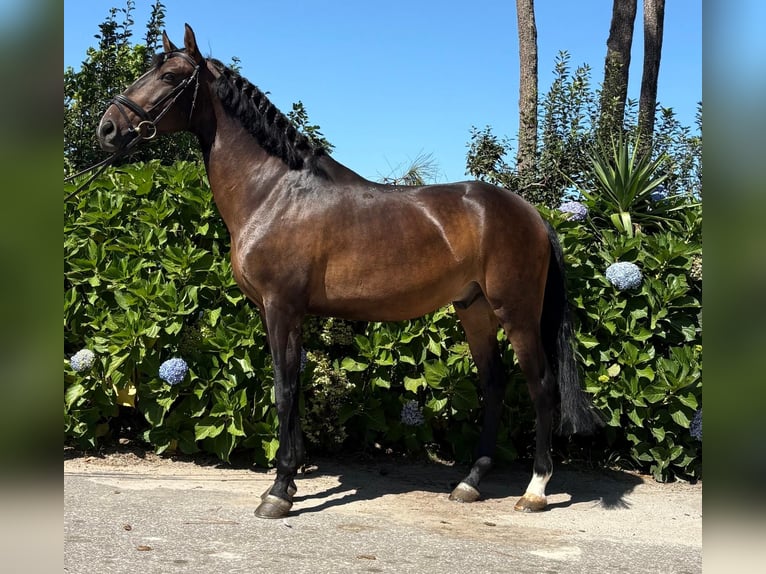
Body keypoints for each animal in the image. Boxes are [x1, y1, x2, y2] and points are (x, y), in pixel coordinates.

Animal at [97, 24, 601, 519]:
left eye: (169, 76)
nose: (108, 127)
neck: (275, 190)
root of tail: (532, 215)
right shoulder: (279, 312)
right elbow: (293, 386)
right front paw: (290, 479)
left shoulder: (282, 307)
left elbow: (284, 389)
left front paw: (279, 490)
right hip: (474, 309)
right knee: (494, 385)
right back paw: (470, 483)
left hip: (516, 313)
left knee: (541, 387)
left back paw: (535, 490)